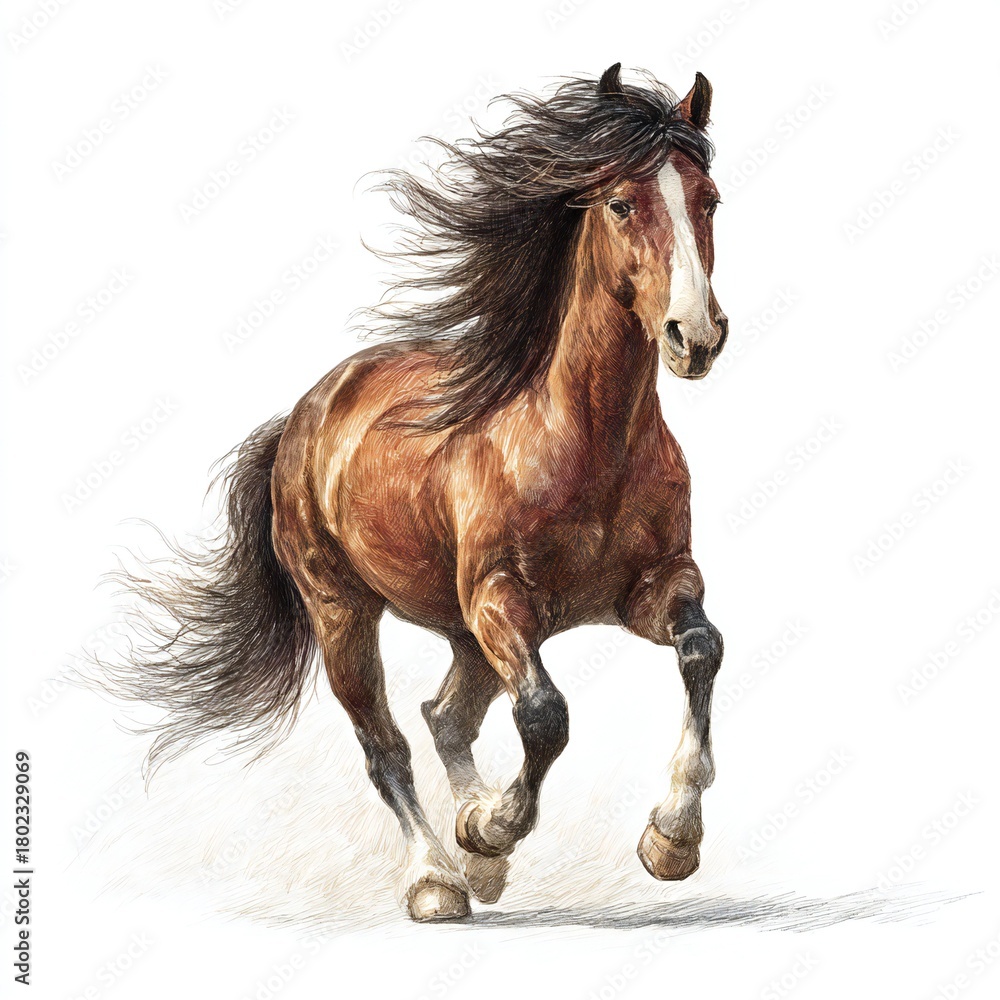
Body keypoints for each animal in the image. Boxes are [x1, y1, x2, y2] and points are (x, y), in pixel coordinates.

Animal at [112, 63, 729, 921]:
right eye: (621, 203)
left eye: (709, 199)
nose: (694, 337)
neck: (586, 439)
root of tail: (302, 417)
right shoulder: (502, 601)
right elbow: (545, 716)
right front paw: (495, 828)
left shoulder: (654, 586)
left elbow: (703, 650)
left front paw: (671, 838)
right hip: (345, 615)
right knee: (389, 746)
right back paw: (441, 877)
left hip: (466, 636)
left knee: (446, 719)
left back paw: (479, 860)